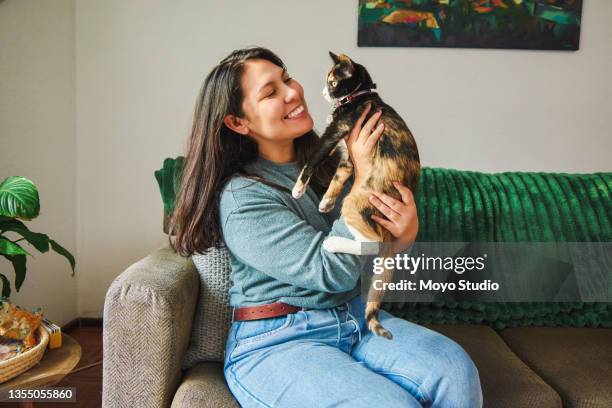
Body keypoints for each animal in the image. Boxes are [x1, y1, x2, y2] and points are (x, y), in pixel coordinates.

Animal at [290, 52, 418, 340]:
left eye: (332, 81)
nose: (323, 91)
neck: (361, 96)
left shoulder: (333, 134)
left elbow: (312, 160)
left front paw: (298, 188)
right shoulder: (348, 158)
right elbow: (337, 179)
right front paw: (326, 202)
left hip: (355, 204)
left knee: (369, 244)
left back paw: (334, 243)